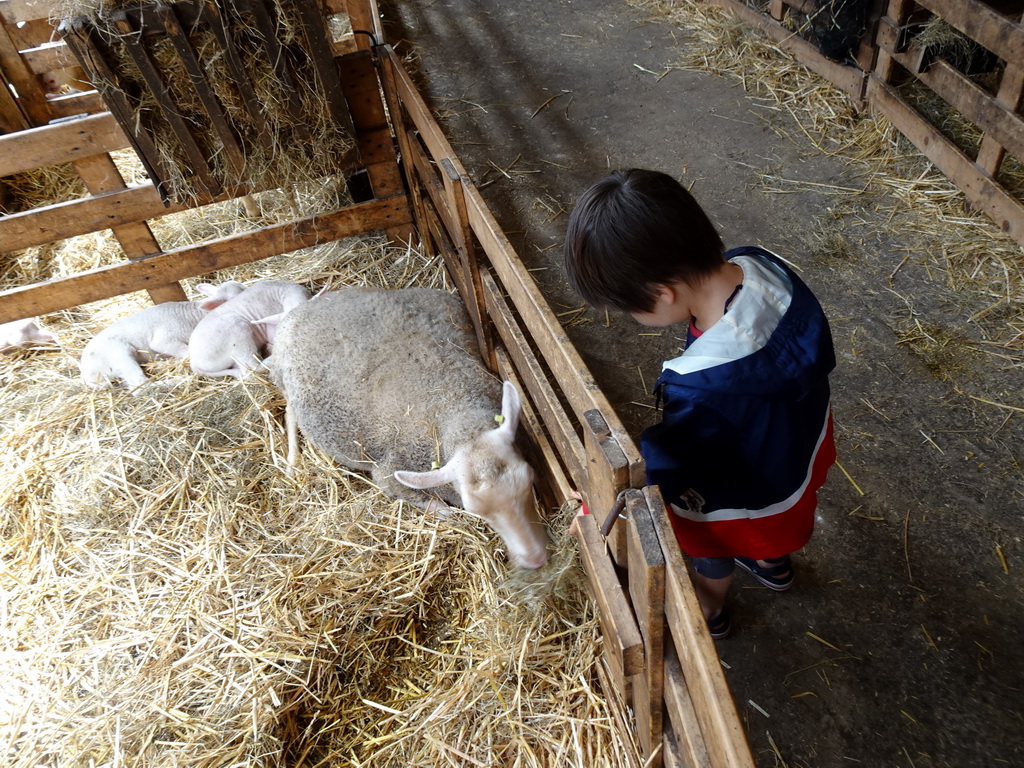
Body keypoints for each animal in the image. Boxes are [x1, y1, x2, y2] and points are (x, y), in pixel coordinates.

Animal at [80, 280, 243, 393]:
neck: (194, 316)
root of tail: (86, 375)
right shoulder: (164, 340)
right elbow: (187, 353)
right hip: (118, 354)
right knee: (139, 386)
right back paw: (174, 381)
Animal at [268, 286, 548, 573]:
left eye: (530, 478)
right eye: (476, 512)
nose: (536, 559)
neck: (454, 408)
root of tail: (300, 311)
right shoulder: (388, 473)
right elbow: (430, 503)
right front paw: (444, 511)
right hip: (284, 381)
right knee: (290, 414)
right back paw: (292, 463)